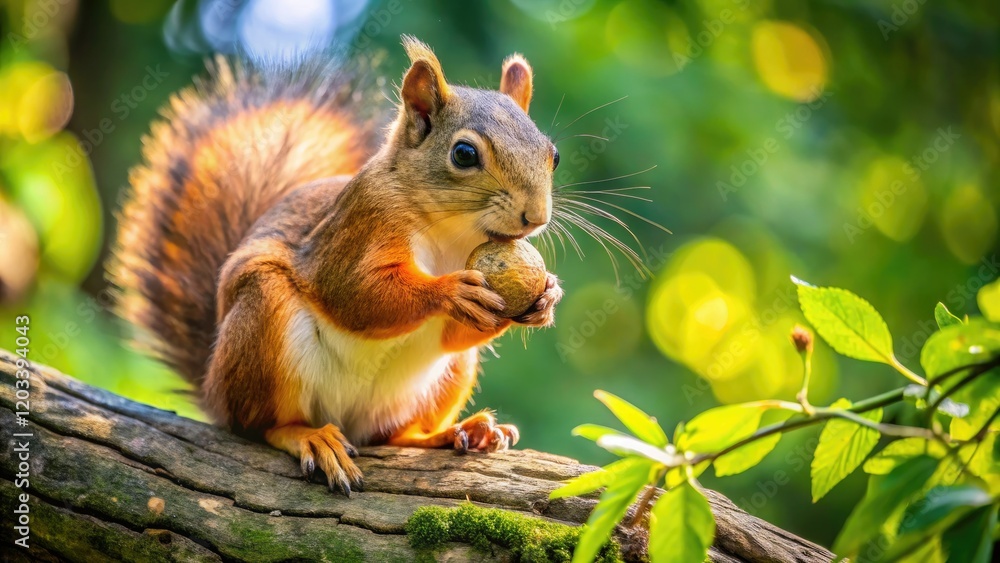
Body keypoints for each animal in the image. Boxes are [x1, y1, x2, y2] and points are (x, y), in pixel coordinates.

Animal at [110, 36, 563, 495]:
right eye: (465, 153)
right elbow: (355, 295)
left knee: (393, 435)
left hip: (440, 381)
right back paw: (309, 437)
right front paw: (449, 291)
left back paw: (455, 433)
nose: (536, 217)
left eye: (554, 154)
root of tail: (212, 386)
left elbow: (455, 334)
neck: (454, 234)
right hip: (262, 317)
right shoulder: (356, 229)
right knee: (259, 426)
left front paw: (546, 297)